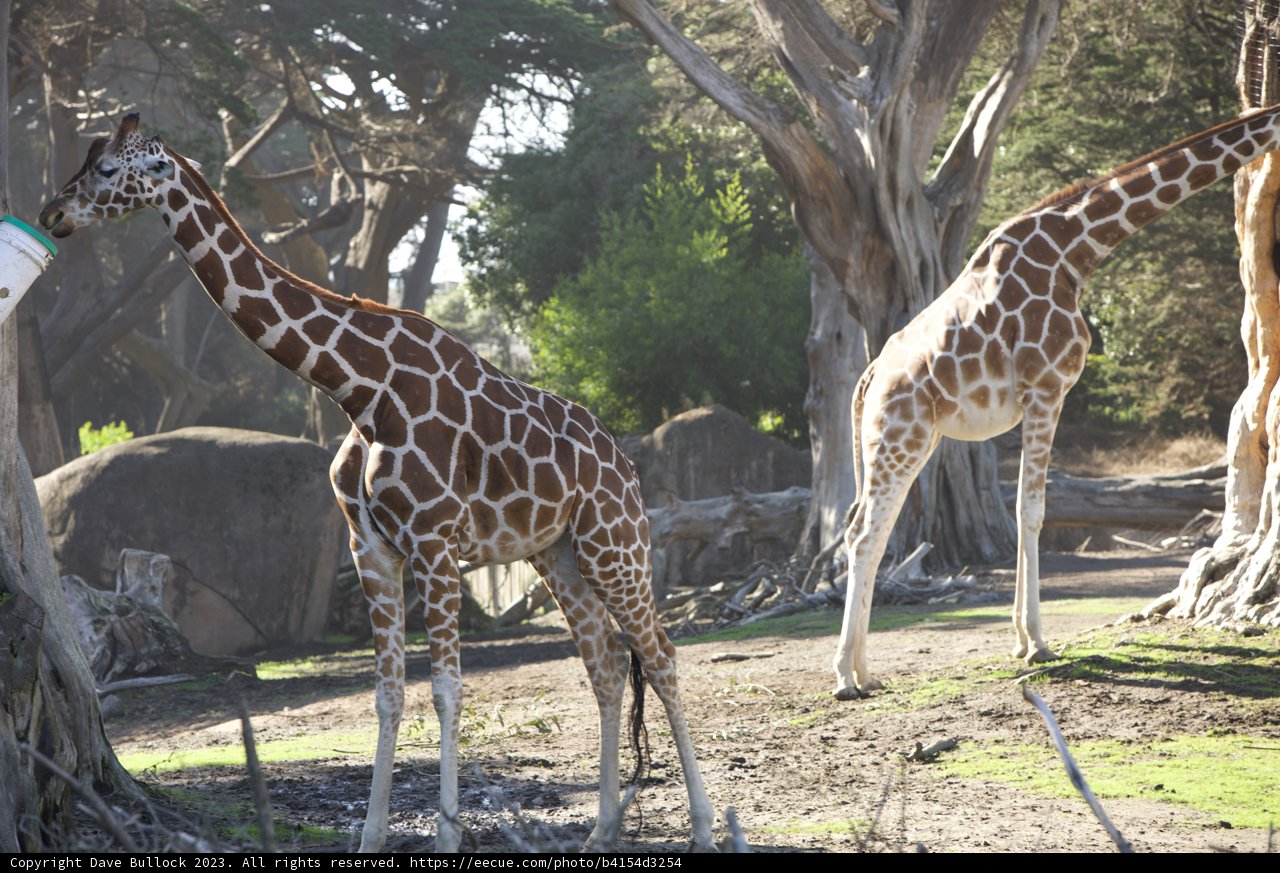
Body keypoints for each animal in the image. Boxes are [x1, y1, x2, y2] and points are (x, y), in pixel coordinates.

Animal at [39, 114, 716, 853]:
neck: (359, 390)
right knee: (608, 665)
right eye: (86, 157)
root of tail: (625, 461)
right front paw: (370, 836)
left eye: (108, 170)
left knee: (663, 654)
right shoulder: (372, 548)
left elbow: (447, 688)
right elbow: (387, 693)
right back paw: (600, 831)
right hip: (557, 552)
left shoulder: (434, 542)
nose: (53, 213)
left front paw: (447, 837)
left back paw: (705, 826)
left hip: (614, 543)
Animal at [832, 102, 1280, 701]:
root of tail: (869, 378)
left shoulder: (1037, 396)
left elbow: (1026, 507)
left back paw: (865, 671)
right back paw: (844, 677)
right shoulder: (1046, 388)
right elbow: (1033, 509)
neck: (1077, 248)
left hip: (908, 440)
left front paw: (1022, 641)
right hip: (900, 437)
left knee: (870, 531)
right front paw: (1038, 644)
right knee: (863, 533)